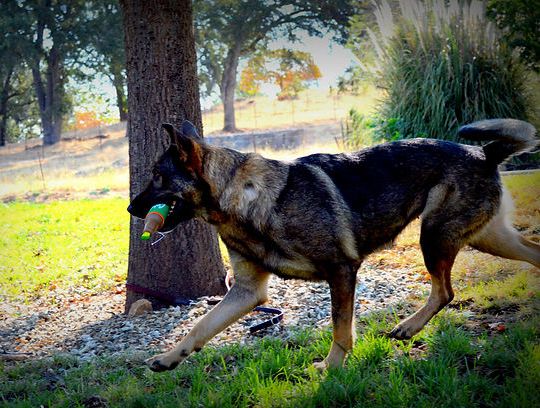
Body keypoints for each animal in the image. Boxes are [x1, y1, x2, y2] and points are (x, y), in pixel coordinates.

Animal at [127, 116, 540, 372]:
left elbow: (341, 329)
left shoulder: (341, 271)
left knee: (446, 292)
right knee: (531, 255)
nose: (131, 208)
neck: (242, 197)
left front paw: (333, 367)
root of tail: (483, 153)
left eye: (158, 177)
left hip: (435, 237)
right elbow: (201, 326)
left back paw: (408, 327)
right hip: (484, 237)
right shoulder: (247, 293)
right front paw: (169, 358)